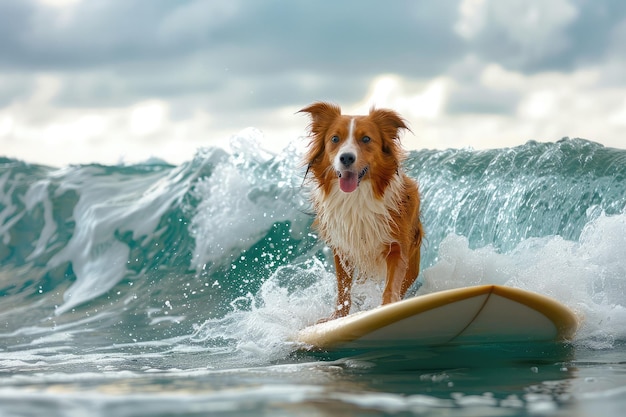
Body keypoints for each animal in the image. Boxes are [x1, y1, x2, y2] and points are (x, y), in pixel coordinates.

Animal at [298, 101, 424, 322]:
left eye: (366, 139)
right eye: (335, 139)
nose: (346, 158)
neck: (356, 197)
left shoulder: (396, 245)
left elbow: (392, 284)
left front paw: (388, 307)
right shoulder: (342, 249)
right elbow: (343, 287)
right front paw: (337, 317)